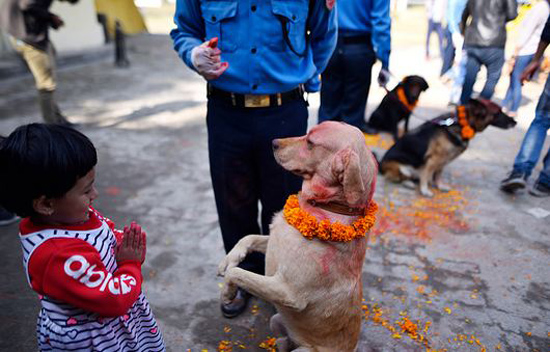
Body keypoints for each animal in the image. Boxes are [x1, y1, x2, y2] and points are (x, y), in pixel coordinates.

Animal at [219, 121, 380, 352]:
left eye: (310, 142)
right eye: (307, 133)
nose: (273, 142)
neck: (327, 206)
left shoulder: (288, 292)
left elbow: (238, 273)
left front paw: (227, 292)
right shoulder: (274, 241)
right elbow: (247, 238)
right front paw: (229, 259)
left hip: (304, 349)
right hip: (276, 321)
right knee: (284, 341)